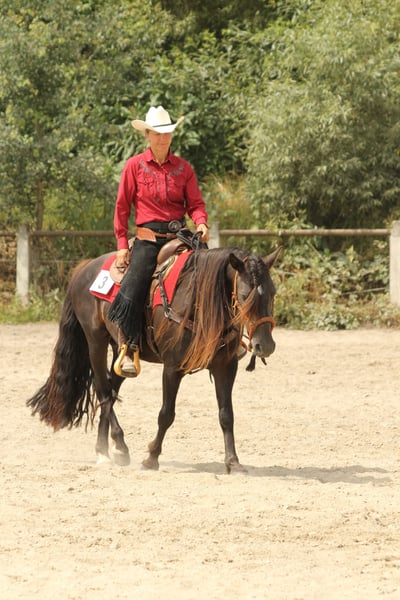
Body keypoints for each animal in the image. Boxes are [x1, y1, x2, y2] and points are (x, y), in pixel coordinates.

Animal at [27, 242, 281, 473]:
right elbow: (166, 414)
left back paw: (111, 448)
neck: (198, 300)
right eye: (245, 295)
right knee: (103, 391)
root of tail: (84, 268)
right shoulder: (172, 367)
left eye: (273, 292)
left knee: (111, 388)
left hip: (120, 353)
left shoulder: (225, 367)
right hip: (95, 342)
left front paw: (233, 462)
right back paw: (111, 449)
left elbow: (226, 414)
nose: (265, 345)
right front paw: (151, 457)